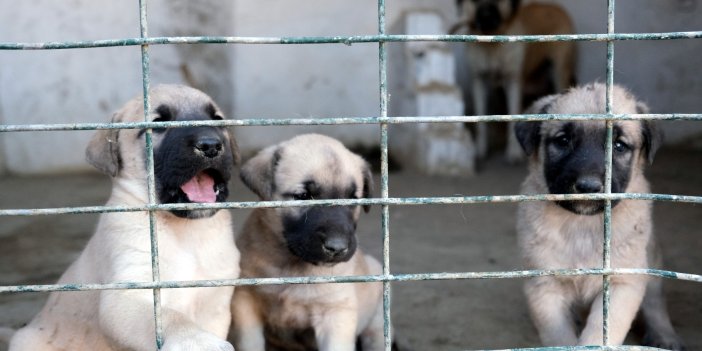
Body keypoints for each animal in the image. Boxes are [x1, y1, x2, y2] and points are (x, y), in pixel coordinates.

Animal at [8, 85, 242, 351]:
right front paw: (195, 340)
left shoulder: (216, 305)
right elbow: (169, 317)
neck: (185, 232)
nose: (210, 145)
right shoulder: (128, 294)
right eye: (158, 123)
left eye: (218, 119)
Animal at [230, 134, 388, 351]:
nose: (337, 247)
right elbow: (250, 343)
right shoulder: (245, 301)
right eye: (303, 196)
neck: (292, 265)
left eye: (353, 198)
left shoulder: (334, 313)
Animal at [456, 0, 576, 164]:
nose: (486, 17)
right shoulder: (479, 81)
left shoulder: (513, 81)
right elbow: (481, 119)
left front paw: (513, 152)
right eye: (474, 2)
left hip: (559, 70)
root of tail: (555, 6)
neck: (491, 44)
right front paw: (480, 150)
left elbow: (513, 115)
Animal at [516, 82, 684, 350]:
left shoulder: (622, 283)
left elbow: (600, 333)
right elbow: (558, 335)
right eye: (563, 140)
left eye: (619, 146)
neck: (583, 225)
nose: (588, 186)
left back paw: (665, 336)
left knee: (655, 304)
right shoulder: (544, 285)